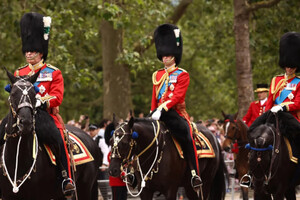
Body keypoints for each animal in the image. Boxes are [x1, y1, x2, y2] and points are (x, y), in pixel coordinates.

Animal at [0, 70, 101, 200]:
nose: (26, 122)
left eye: (34, 95)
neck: (18, 159)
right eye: (13, 94)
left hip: (85, 190)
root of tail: (90, 138)